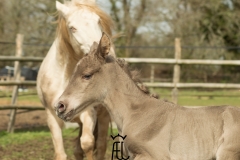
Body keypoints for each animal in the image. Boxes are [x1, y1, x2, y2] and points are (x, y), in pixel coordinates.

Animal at [36, 0, 114, 159]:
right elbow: (60, 152)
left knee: (101, 146)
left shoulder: (89, 112)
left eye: (98, 21)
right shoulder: (52, 117)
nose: (104, 50)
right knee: (78, 150)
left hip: (103, 116)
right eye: (72, 28)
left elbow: (88, 143)